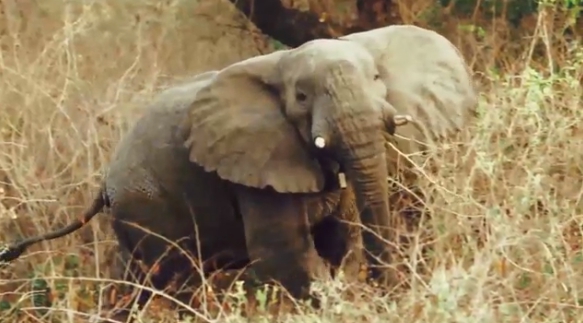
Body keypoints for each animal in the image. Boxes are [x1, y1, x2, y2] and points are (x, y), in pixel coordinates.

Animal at [0, 24, 476, 314]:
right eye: (301, 97)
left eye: (378, 78)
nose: (389, 292)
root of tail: (105, 181)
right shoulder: (256, 163)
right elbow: (287, 253)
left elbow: (337, 240)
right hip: (147, 204)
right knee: (175, 281)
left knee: (136, 280)